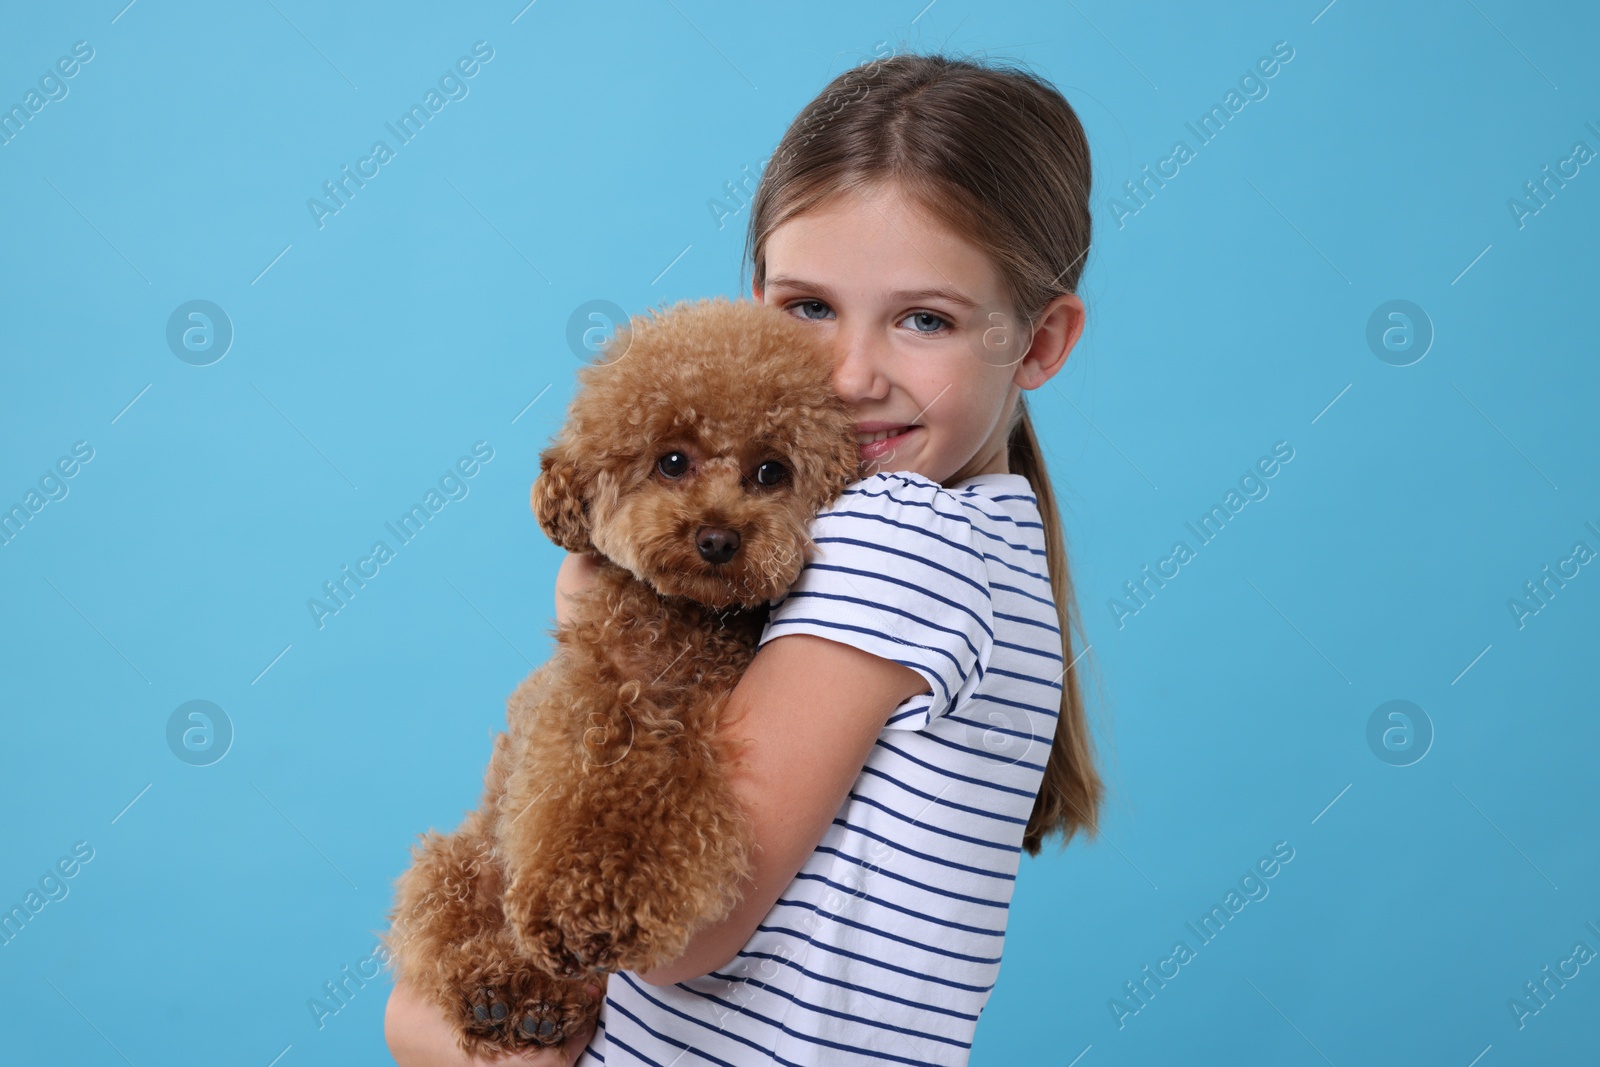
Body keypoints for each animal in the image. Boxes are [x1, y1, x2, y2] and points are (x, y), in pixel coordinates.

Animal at [384, 295, 864, 1055]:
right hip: (461, 859)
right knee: (445, 924)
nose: (718, 537)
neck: (683, 625)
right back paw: (502, 989)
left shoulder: (692, 732)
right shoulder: (593, 705)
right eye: (671, 461)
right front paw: (578, 913)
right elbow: (591, 801)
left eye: (771, 472)